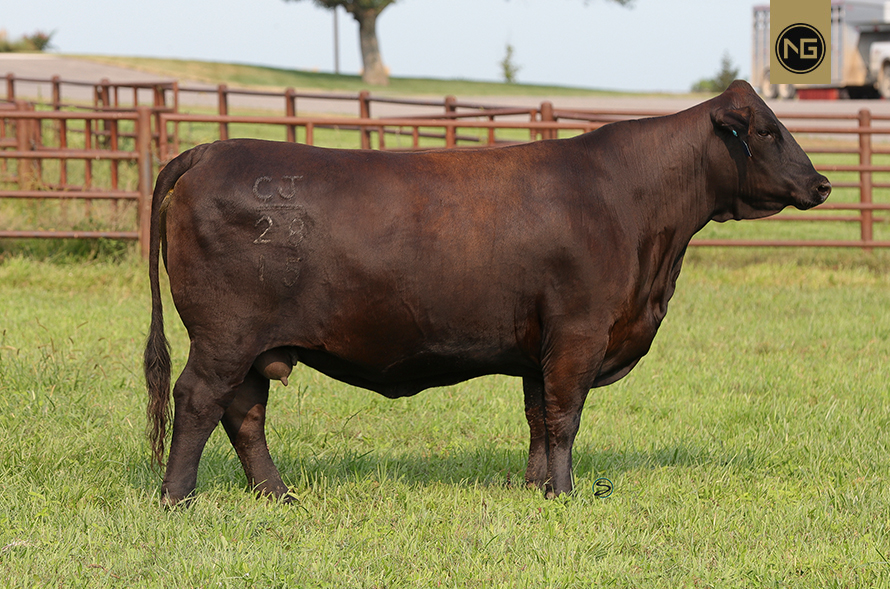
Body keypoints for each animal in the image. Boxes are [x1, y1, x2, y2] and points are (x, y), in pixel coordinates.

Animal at [144, 80, 831, 506]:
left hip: (255, 345)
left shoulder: (539, 347)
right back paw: (178, 499)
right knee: (199, 400)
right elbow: (564, 417)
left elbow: (538, 418)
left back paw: (279, 496)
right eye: (769, 131)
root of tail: (212, 148)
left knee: (244, 412)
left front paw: (534, 491)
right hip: (225, 335)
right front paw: (564, 495)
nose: (822, 183)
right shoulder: (579, 334)